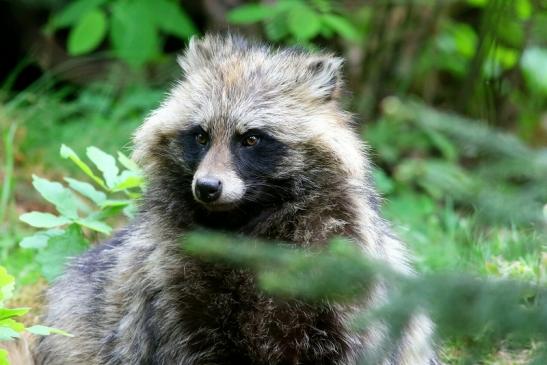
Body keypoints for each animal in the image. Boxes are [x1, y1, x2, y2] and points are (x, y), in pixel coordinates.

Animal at [32, 34, 438, 364]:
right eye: (200, 136)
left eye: (251, 138)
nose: (207, 187)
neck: (243, 222)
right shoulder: (170, 290)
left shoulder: (341, 276)